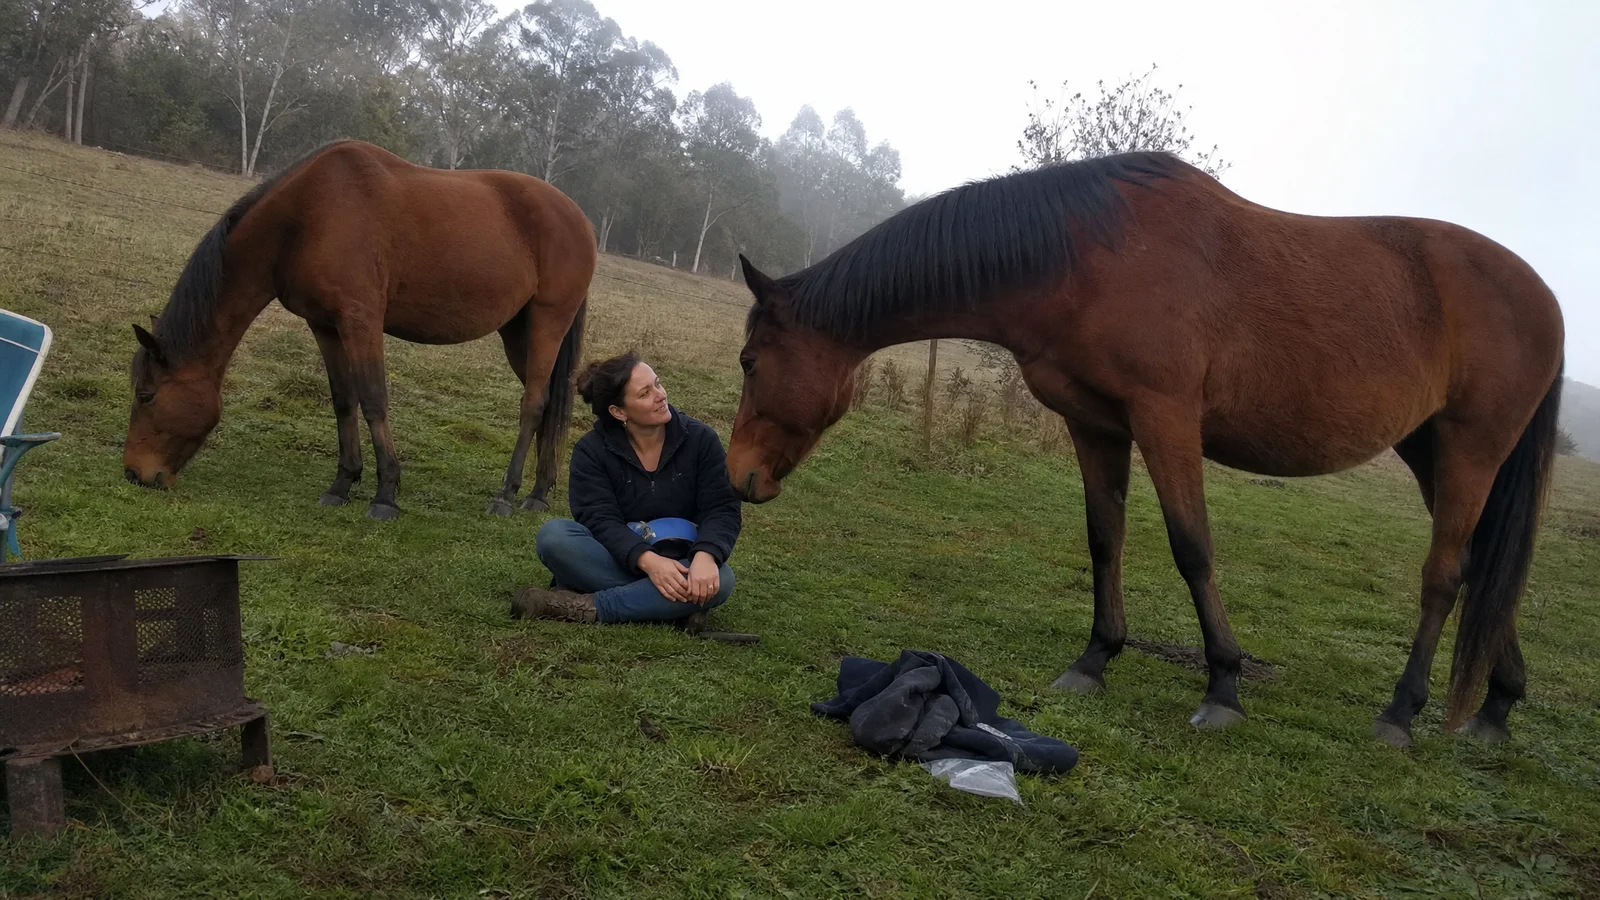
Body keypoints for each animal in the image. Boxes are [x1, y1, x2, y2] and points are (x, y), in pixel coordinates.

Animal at [122, 139, 595, 520]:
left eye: (146, 395)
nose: (133, 473)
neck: (306, 217)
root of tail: (579, 218)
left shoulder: (360, 321)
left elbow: (373, 400)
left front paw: (385, 493)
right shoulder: (325, 325)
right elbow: (344, 401)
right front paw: (342, 483)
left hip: (548, 323)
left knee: (533, 404)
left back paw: (506, 494)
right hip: (518, 333)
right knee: (549, 404)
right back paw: (538, 492)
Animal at [727, 151, 1564, 746]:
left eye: (750, 362)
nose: (739, 477)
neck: (1087, 255)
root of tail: (1546, 298)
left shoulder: (1166, 419)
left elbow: (1192, 547)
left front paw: (1222, 687)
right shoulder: (1096, 425)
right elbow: (1105, 537)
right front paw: (1095, 660)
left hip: (1471, 450)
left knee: (1444, 578)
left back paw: (1401, 712)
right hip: (1432, 453)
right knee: (1486, 569)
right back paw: (1496, 705)